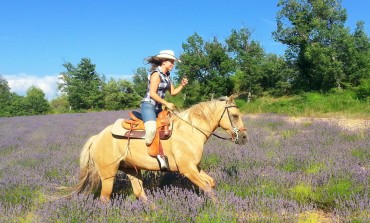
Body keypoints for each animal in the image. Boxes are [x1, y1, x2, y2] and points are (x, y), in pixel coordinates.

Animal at [69, 95, 249, 201]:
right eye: (235, 116)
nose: (244, 138)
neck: (189, 131)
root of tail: (96, 138)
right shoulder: (188, 169)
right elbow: (207, 188)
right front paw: (217, 207)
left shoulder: (195, 167)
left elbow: (210, 183)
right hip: (108, 175)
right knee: (105, 198)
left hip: (131, 170)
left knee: (140, 193)